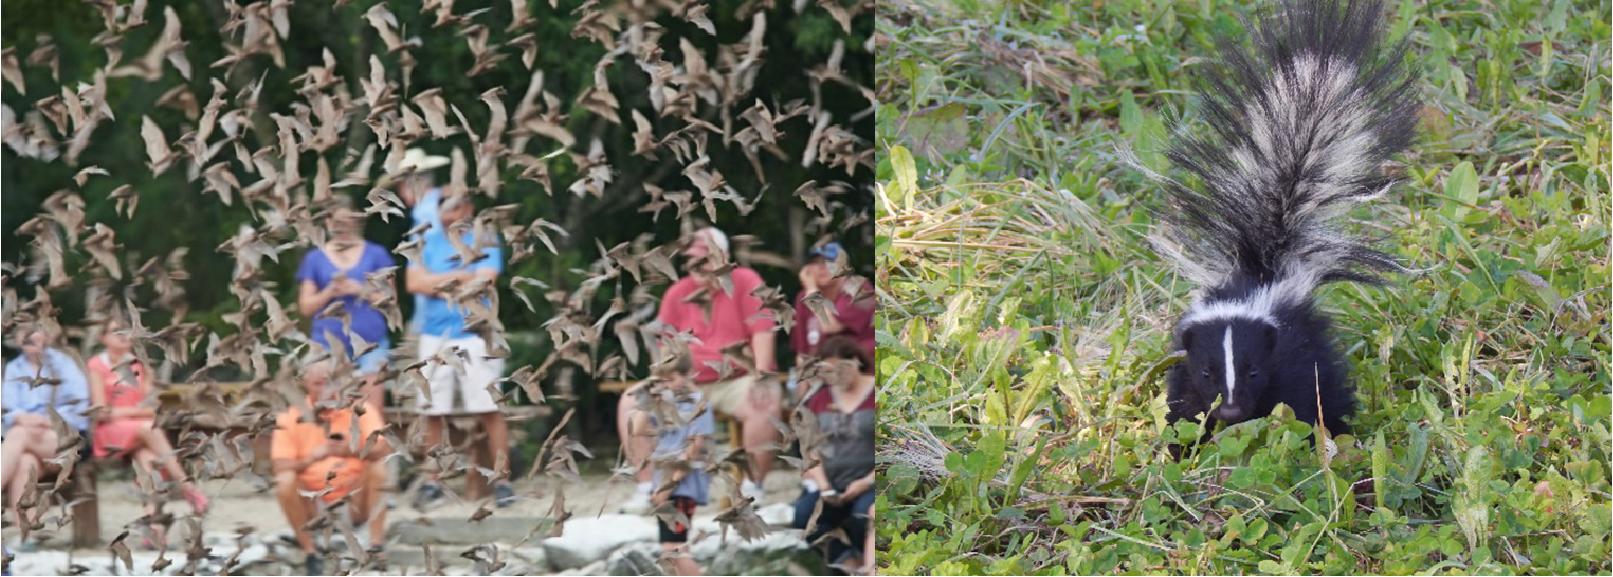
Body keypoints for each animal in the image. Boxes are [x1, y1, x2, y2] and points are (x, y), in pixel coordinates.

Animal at [1129, 0, 1419, 444]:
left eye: (1253, 370)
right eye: (1207, 371)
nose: (1231, 410)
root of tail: (1265, 262)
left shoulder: (1292, 358)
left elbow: (1303, 405)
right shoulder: (1184, 371)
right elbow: (1184, 412)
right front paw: (1182, 446)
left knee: (1328, 388)